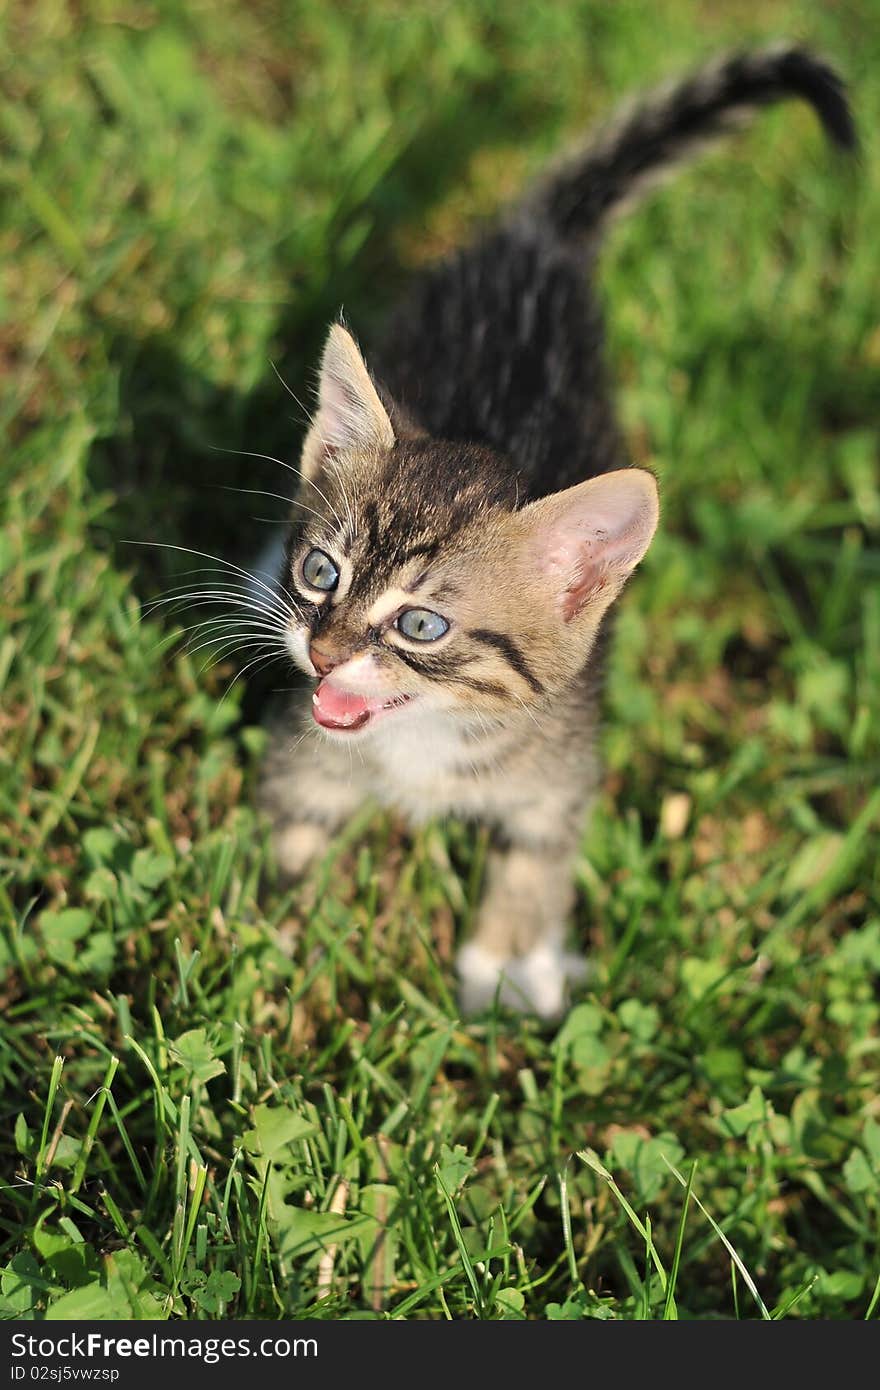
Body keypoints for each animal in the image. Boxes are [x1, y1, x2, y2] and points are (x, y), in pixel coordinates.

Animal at [254, 46, 850, 1023]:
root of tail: (538, 242)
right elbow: (291, 838)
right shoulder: (304, 751)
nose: (323, 650)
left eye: (421, 625)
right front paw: (273, 939)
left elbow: (536, 858)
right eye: (322, 572)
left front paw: (505, 963)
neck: (427, 742)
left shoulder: (560, 775)